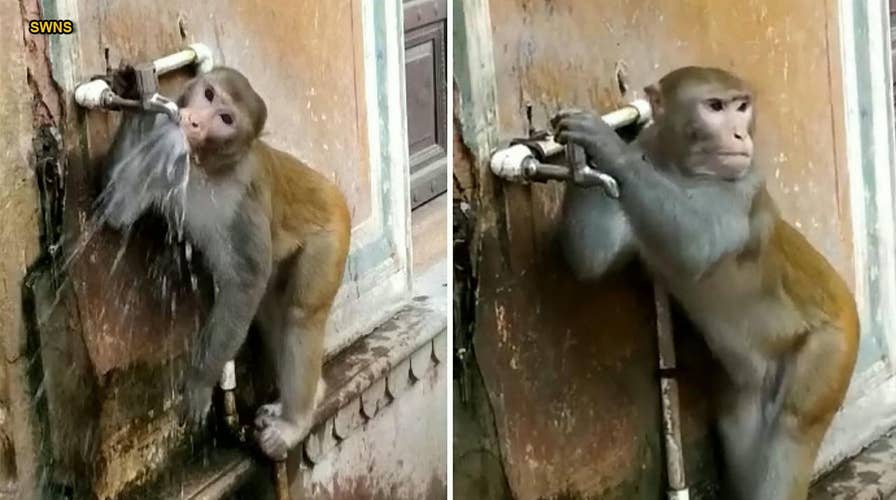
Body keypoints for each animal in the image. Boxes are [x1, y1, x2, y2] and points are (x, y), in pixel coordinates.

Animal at [102, 66, 351, 461]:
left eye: (225, 119)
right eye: (208, 94)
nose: (193, 121)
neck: (205, 167)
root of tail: (335, 192)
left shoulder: (245, 201)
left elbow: (245, 283)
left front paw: (200, 383)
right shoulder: (163, 159)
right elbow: (117, 209)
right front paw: (137, 94)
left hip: (330, 237)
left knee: (299, 314)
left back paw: (295, 421)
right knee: (271, 313)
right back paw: (311, 395)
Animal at [552, 66, 859, 500]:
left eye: (740, 106)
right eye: (715, 107)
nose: (740, 135)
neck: (679, 170)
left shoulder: (744, 185)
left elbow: (699, 244)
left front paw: (608, 146)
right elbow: (591, 259)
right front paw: (586, 147)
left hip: (831, 348)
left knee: (792, 427)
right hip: (748, 385)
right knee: (740, 431)